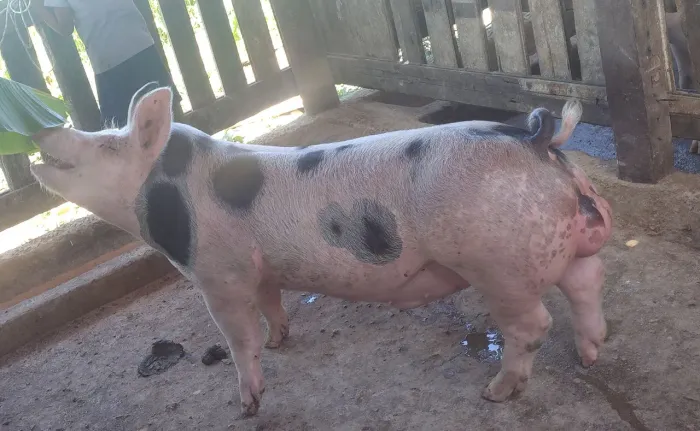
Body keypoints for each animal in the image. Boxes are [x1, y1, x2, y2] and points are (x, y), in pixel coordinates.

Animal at [30, 84, 613, 417]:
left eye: (106, 143)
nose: (43, 128)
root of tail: (537, 141)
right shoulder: (261, 270)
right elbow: (272, 304)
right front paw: (282, 340)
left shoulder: (219, 274)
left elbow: (238, 339)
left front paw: (247, 406)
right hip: (565, 241)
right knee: (586, 286)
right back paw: (590, 356)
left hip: (497, 263)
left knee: (533, 325)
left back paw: (496, 392)